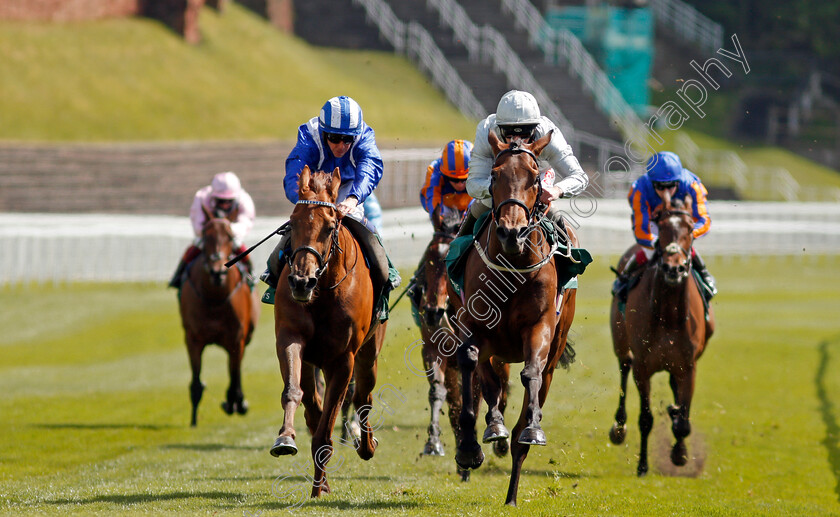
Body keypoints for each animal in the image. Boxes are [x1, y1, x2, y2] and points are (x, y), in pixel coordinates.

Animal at [181, 204, 260, 426]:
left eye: (230, 236)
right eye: (205, 235)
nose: (217, 272)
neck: (215, 297)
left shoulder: (236, 338)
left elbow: (234, 374)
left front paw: (235, 402)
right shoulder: (193, 338)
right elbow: (196, 382)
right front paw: (193, 420)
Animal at [270, 165, 388, 496]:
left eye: (330, 225)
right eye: (293, 222)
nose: (301, 281)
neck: (322, 293)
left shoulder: (343, 359)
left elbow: (328, 426)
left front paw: (318, 488)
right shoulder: (290, 339)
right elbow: (294, 393)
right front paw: (285, 438)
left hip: (369, 353)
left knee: (363, 397)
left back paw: (367, 445)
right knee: (313, 409)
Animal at [450, 131, 580, 506]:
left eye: (536, 178)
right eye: (495, 175)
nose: (512, 232)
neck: (512, 266)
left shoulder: (539, 327)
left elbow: (530, 374)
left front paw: (532, 430)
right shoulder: (473, 324)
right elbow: (471, 365)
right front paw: (469, 448)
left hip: (554, 349)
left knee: (534, 386)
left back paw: (511, 492)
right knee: (490, 381)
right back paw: (494, 426)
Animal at [608, 196, 720, 474]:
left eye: (690, 228)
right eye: (661, 225)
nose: (674, 268)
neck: (668, 315)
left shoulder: (688, 367)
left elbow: (683, 420)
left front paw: (679, 452)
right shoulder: (643, 367)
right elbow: (646, 417)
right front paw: (643, 465)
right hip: (620, 341)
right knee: (623, 367)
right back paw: (619, 427)